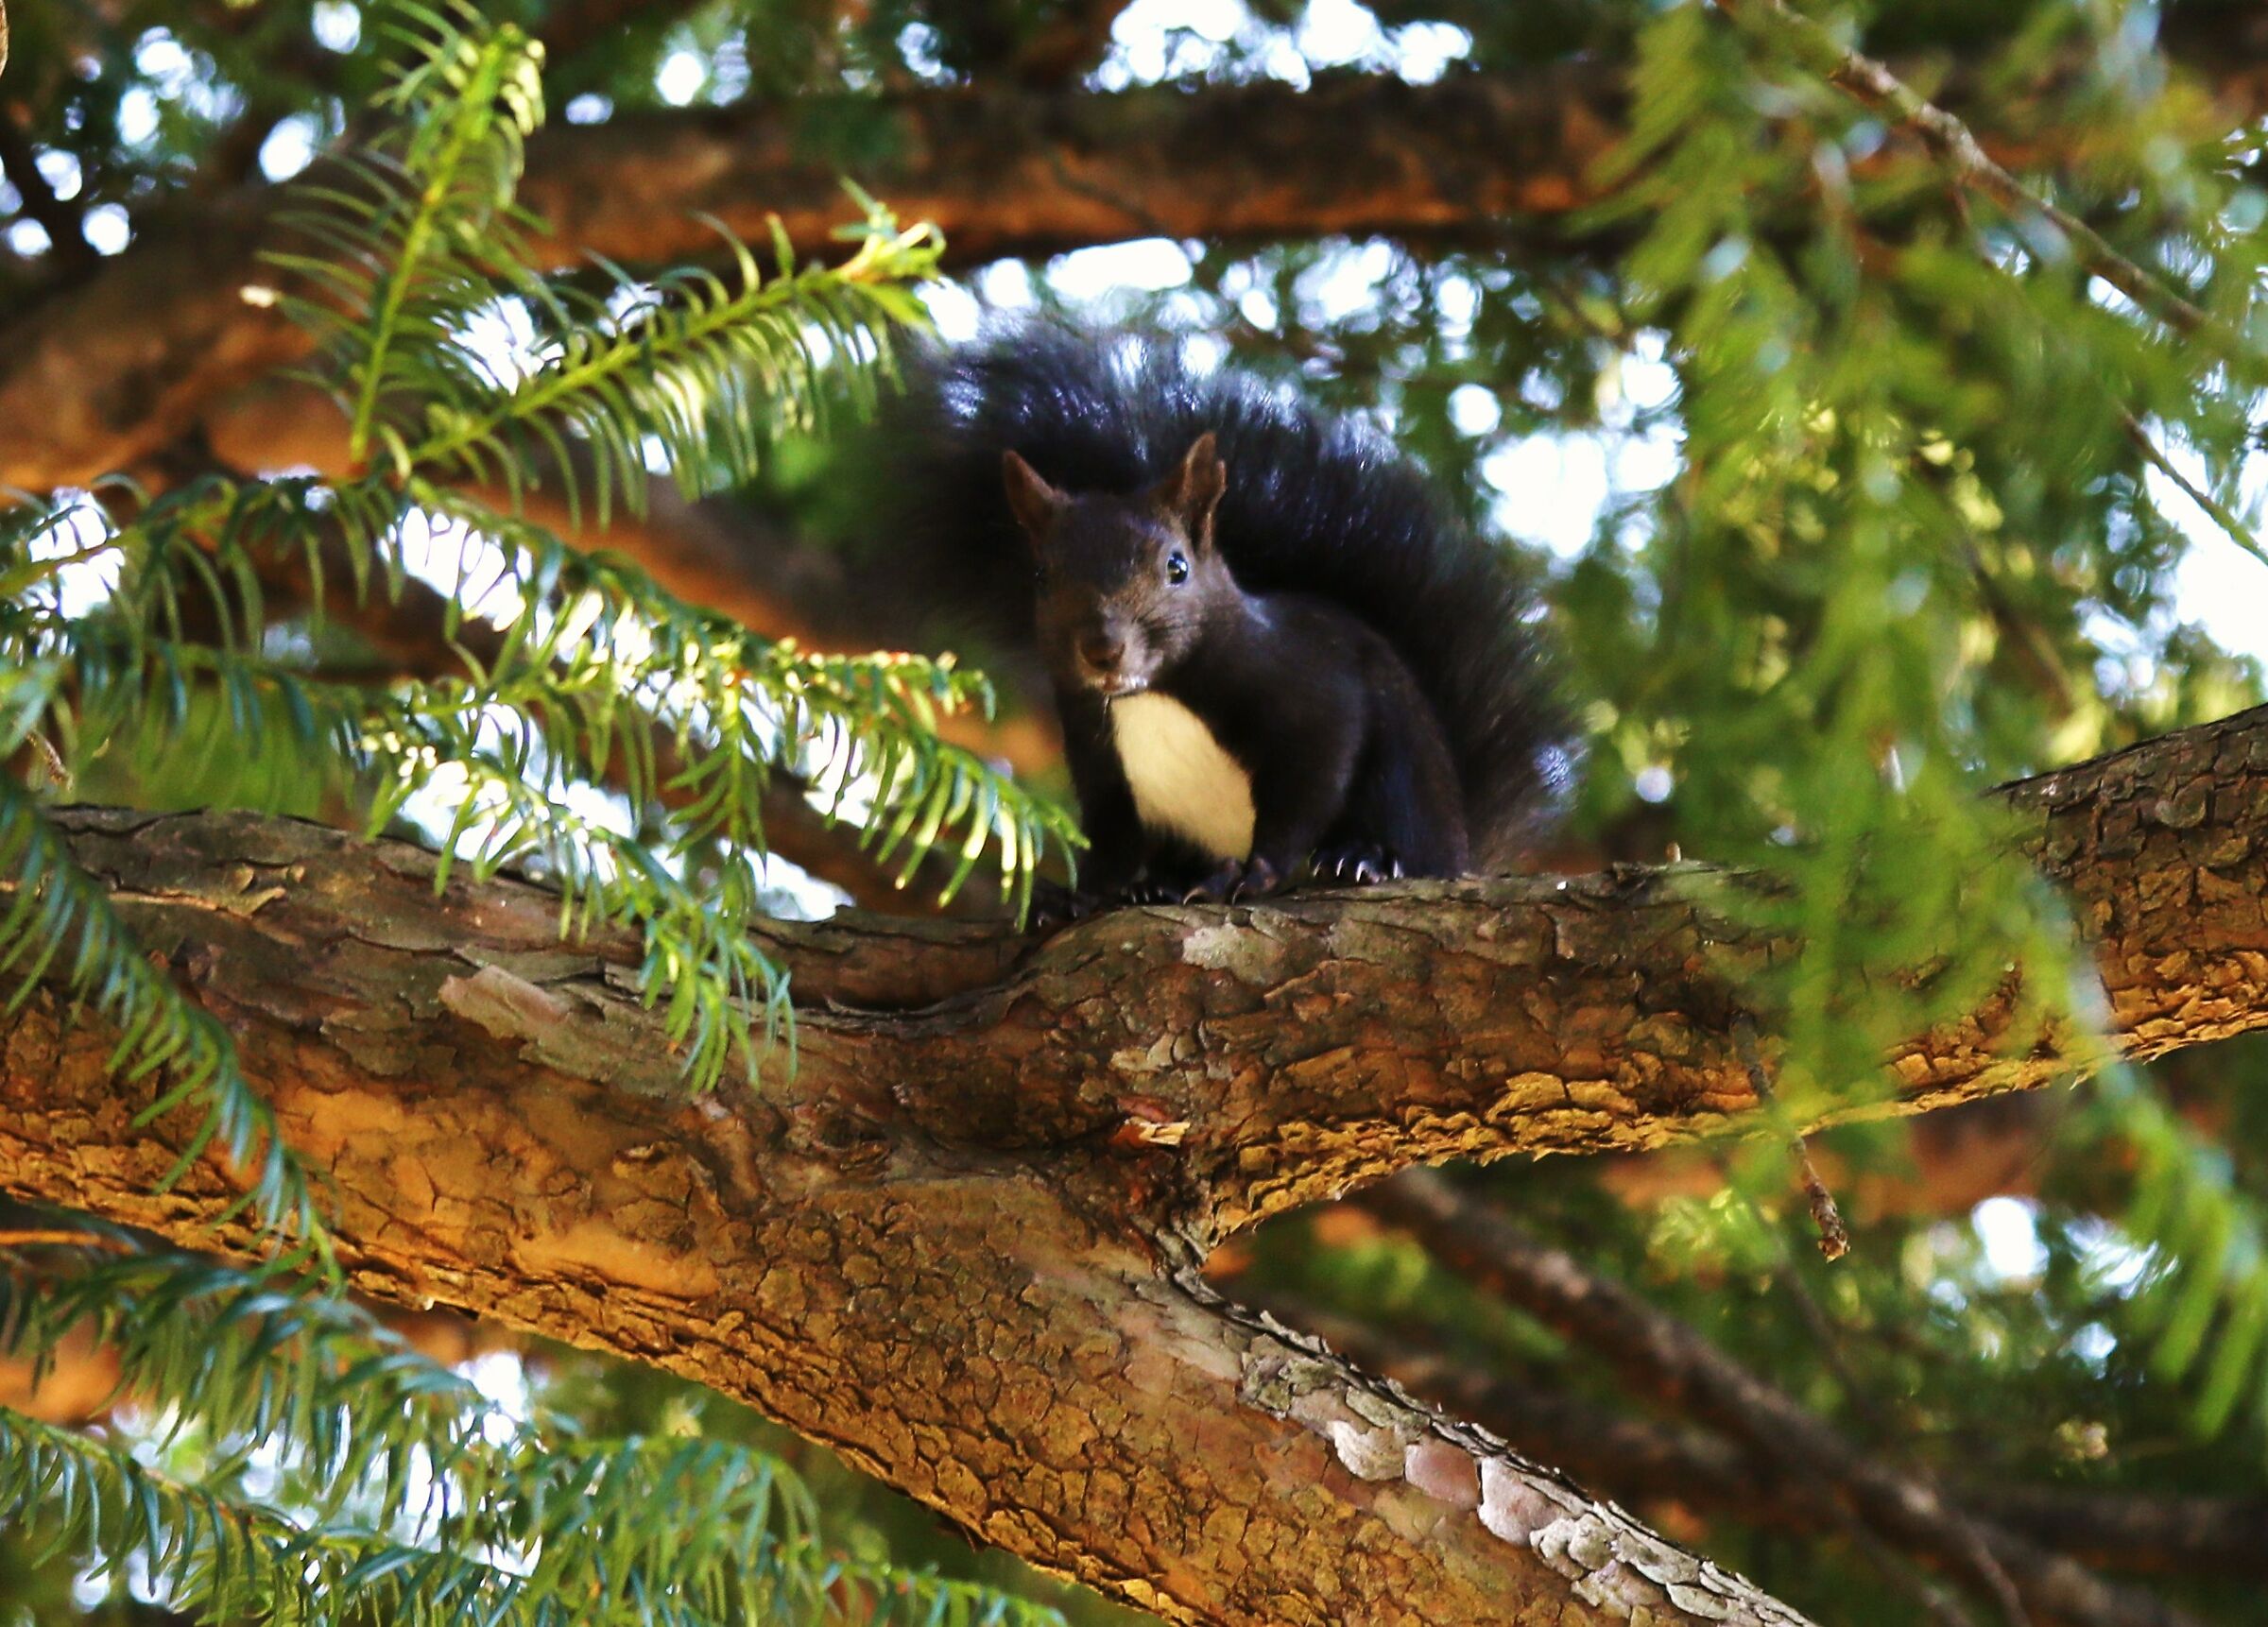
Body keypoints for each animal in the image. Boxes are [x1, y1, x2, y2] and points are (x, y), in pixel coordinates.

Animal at [880, 320, 1570, 910]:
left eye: (1177, 567)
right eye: (1042, 577)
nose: (1102, 650)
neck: (1153, 695)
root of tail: (1461, 846)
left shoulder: (1313, 692)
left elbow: (1308, 784)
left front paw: (1260, 872)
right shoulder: (1096, 752)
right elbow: (1109, 835)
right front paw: (1080, 895)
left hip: (1403, 773)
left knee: (1392, 827)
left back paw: (1362, 860)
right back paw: (1161, 884)